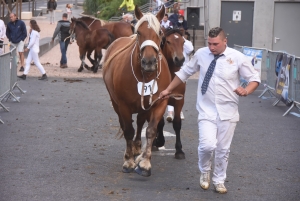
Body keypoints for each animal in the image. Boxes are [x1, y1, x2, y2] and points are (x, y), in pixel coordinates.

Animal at [102, 5, 170, 176]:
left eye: (160, 32)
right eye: (139, 32)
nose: (149, 62)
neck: (145, 74)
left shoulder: (159, 102)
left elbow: (151, 130)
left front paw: (145, 162)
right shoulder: (123, 105)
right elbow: (128, 130)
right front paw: (129, 161)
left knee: (139, 123)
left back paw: (138, 146)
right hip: (116, 103)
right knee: (126, 124)